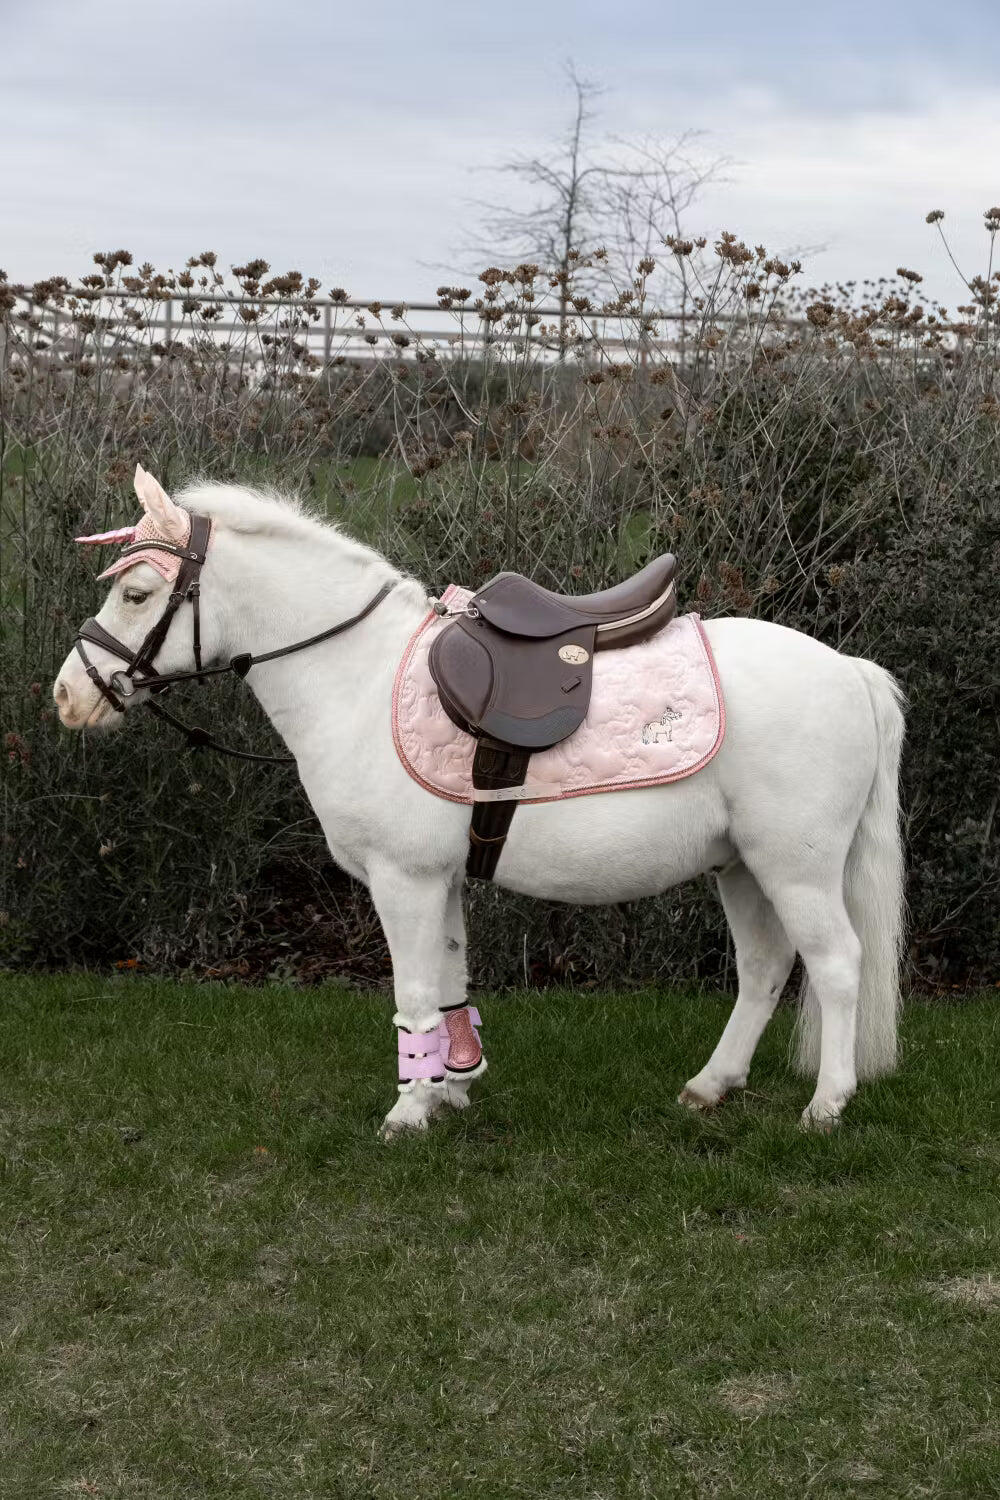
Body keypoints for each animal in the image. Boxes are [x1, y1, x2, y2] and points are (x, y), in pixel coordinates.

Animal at [53, 467, 906, 1139]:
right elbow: (450, 982)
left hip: (795, 868)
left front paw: (408, 1112)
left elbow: (414, 993)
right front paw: (450, 1087)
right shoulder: (442, 880)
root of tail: (849, 670)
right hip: (741, 866)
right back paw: (711, 1085)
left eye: (138, 592)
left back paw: (827, 1105)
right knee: (763, 968)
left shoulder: (403, 880)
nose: (68, 695)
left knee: (837, 964)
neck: (360, 679)